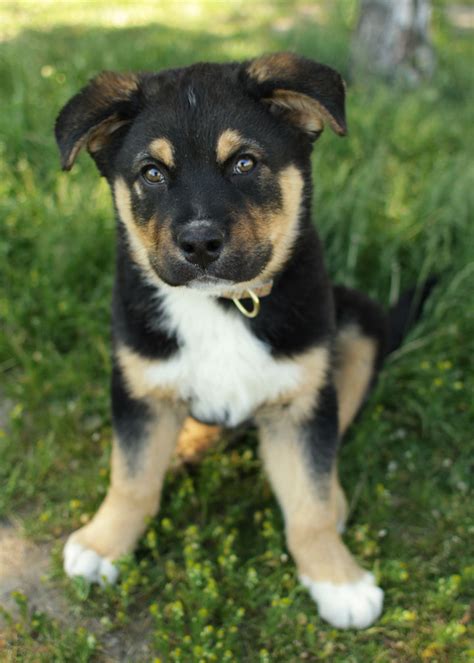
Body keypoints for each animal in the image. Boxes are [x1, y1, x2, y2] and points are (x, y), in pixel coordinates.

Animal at [54, 54, 414, 632]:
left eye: (244, 163)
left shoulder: (303, 396)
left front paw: (338, 580)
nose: (200, 243)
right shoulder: (138, 384)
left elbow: (310, 501)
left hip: (359, 323)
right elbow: (132, 477)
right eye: (152, 173)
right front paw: (103, 544)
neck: (223, 305)